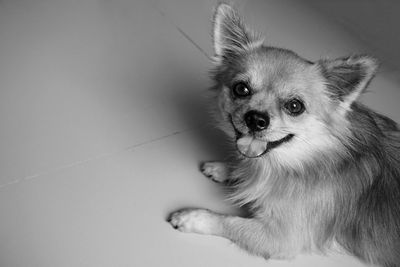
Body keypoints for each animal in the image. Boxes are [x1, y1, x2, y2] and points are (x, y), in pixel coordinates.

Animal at [167, 4, 400, 267]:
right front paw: (225, 169)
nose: (256, 119)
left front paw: (193, 217)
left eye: (295, 106)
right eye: (241, 89)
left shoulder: (279, 239)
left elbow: (228, 221)